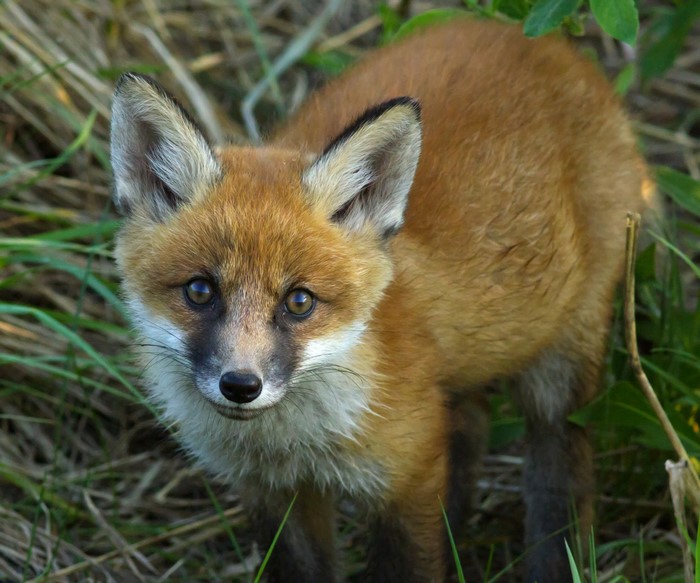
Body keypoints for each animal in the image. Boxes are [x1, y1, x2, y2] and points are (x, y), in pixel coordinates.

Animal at [110, 18, 652, 583]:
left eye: (299, 302)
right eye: (200, 291)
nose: (240, 385)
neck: (293, 444)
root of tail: (533, 39)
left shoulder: (408, 477)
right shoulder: (272, 494)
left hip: (565, 362)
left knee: (560, 476)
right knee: (471, 427)